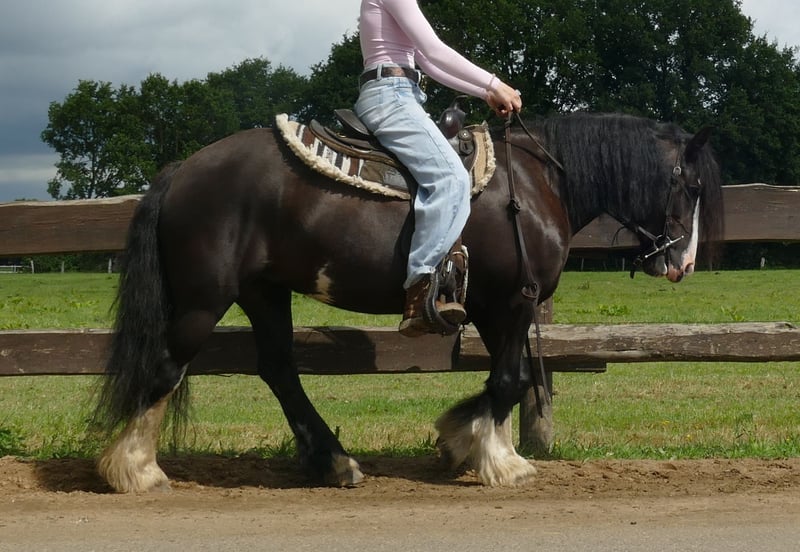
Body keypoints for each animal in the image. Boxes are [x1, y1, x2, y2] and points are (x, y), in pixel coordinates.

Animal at [93, 111, 724, 492]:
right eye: (691, 186)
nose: (683, 263)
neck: (537, 183)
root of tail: (183, 170)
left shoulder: (492, 308)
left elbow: (509, 378)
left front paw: (469, 441)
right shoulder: (513, 302)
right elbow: (510, 380)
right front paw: (494, 458)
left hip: (264, 292)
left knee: (277, 368)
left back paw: (335, 461)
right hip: (205, 298)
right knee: (167, 366)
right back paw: (136, 469)